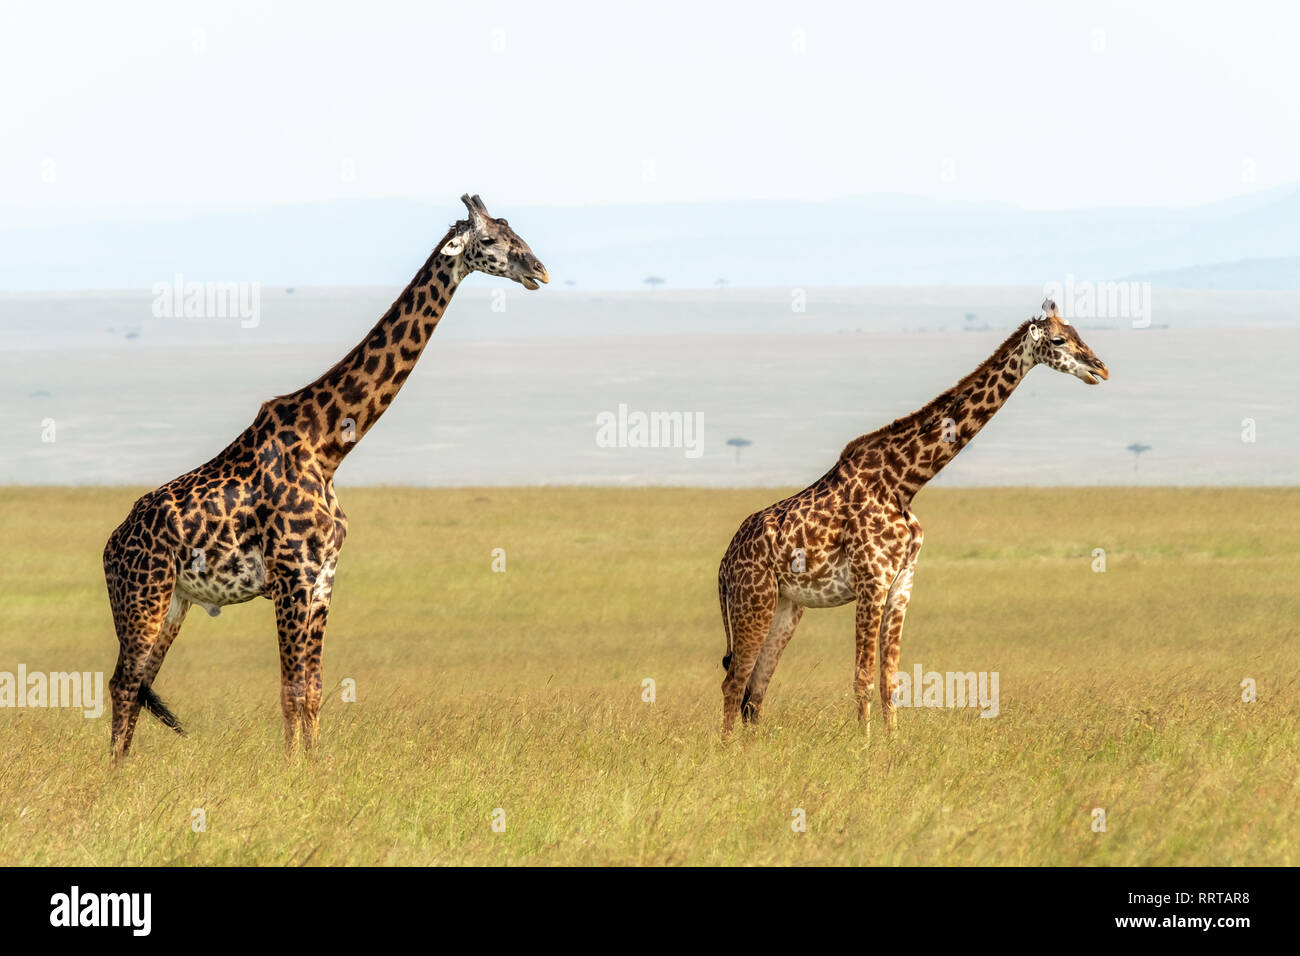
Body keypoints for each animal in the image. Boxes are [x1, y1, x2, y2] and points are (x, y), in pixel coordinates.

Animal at [102, 194, 548, 761]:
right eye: (488, 240)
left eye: (514, 229)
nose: (539, 270)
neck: (329, 447)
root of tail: (110, 547)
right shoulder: (292, 573)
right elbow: (292, 690)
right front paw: (293, 770)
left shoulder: (322, 577)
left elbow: (312, 690)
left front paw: (311, 768)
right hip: (144, 596)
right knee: (123, 683)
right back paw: (115, 773)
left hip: (175, 603)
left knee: (137, 683)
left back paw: (123, 768)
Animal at [715, 299, 1108, 735]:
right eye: (1058, 340)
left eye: (1077, 333)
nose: (1100, 368)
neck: (904, 482)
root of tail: (724, 564)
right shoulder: (871, 583)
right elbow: (863, 677)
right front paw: (865, 745)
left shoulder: (902, 583)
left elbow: (891, 680)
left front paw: (893, 744)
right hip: (753, 599)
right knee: (734, 683)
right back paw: (727, 749)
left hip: (786, 606)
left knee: (756, 689)